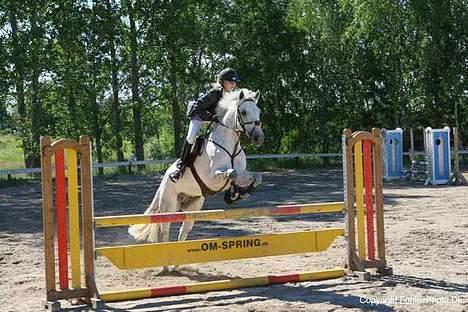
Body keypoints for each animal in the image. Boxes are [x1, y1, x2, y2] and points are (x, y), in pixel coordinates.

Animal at [128, 88, 266, 251]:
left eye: (258, 111)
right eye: (243, 112)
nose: (259, 138)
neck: (230, 146)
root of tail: (164, 179)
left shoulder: (243, 174)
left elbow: (256, 177)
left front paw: (240, 193)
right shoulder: (212, 178)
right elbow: (232, 173)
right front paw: (234, 193)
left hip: (192, 207)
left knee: (183, 231)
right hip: (168, 207)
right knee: (165, 232)